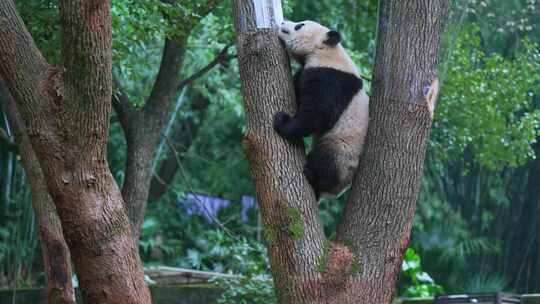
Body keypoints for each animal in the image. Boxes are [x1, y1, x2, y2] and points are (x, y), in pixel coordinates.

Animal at [272, 19, 370, 200]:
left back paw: (314, 176)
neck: (326, 53)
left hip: (342, 150)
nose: (283, 22)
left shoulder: (330, 80)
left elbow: (318, 114)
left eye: (300, 25)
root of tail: (340, 189)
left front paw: (282, 122)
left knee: (326, 160)